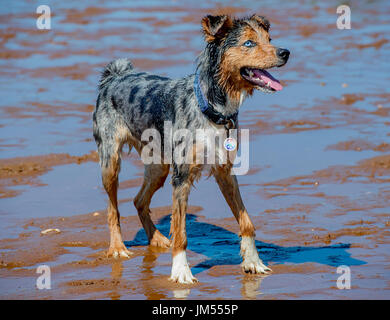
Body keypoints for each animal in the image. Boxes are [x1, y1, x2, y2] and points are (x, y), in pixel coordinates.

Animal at [93, 13, 290, 284]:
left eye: (269, 39)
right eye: (249, 43)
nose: (286, 52)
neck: (213, 110)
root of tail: (114, 76)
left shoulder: (225, 171)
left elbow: (246, 221)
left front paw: (253, 260)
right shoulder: (182, 178)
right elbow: (181, 232)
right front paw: (180, 271)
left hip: (159, 167)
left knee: (139, 200)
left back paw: (156, 238)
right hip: (111, 161)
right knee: (113, 208)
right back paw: (117, 247)